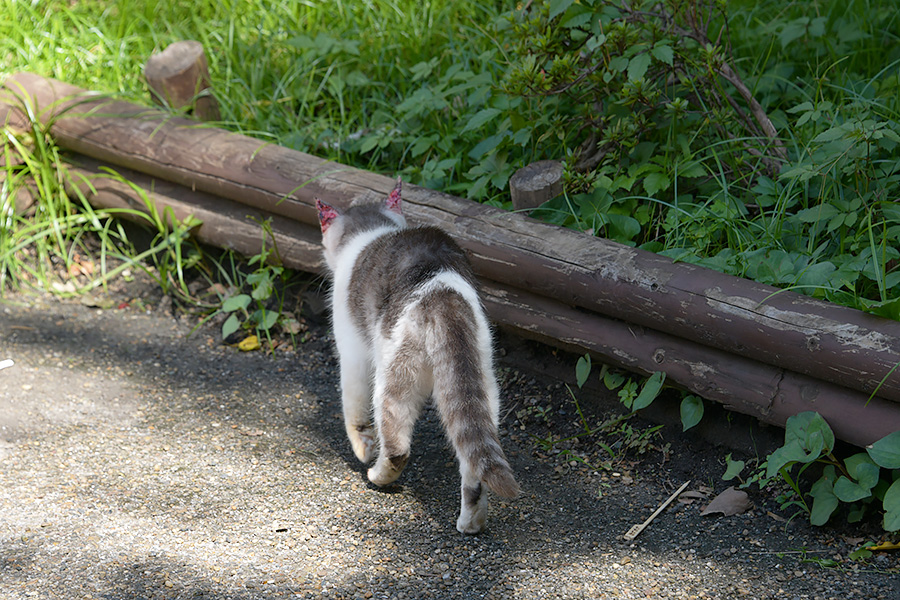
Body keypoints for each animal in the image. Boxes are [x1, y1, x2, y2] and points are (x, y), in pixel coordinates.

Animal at [316, 178, 516, 536]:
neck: (371, 231)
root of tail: (441, 293)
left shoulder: (351, 348)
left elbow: (354, 410)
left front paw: (363, 447)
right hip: (482, 381)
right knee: (474, 459)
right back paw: (471, 523)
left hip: (395, 375)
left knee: (397, 446)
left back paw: (378, 475)